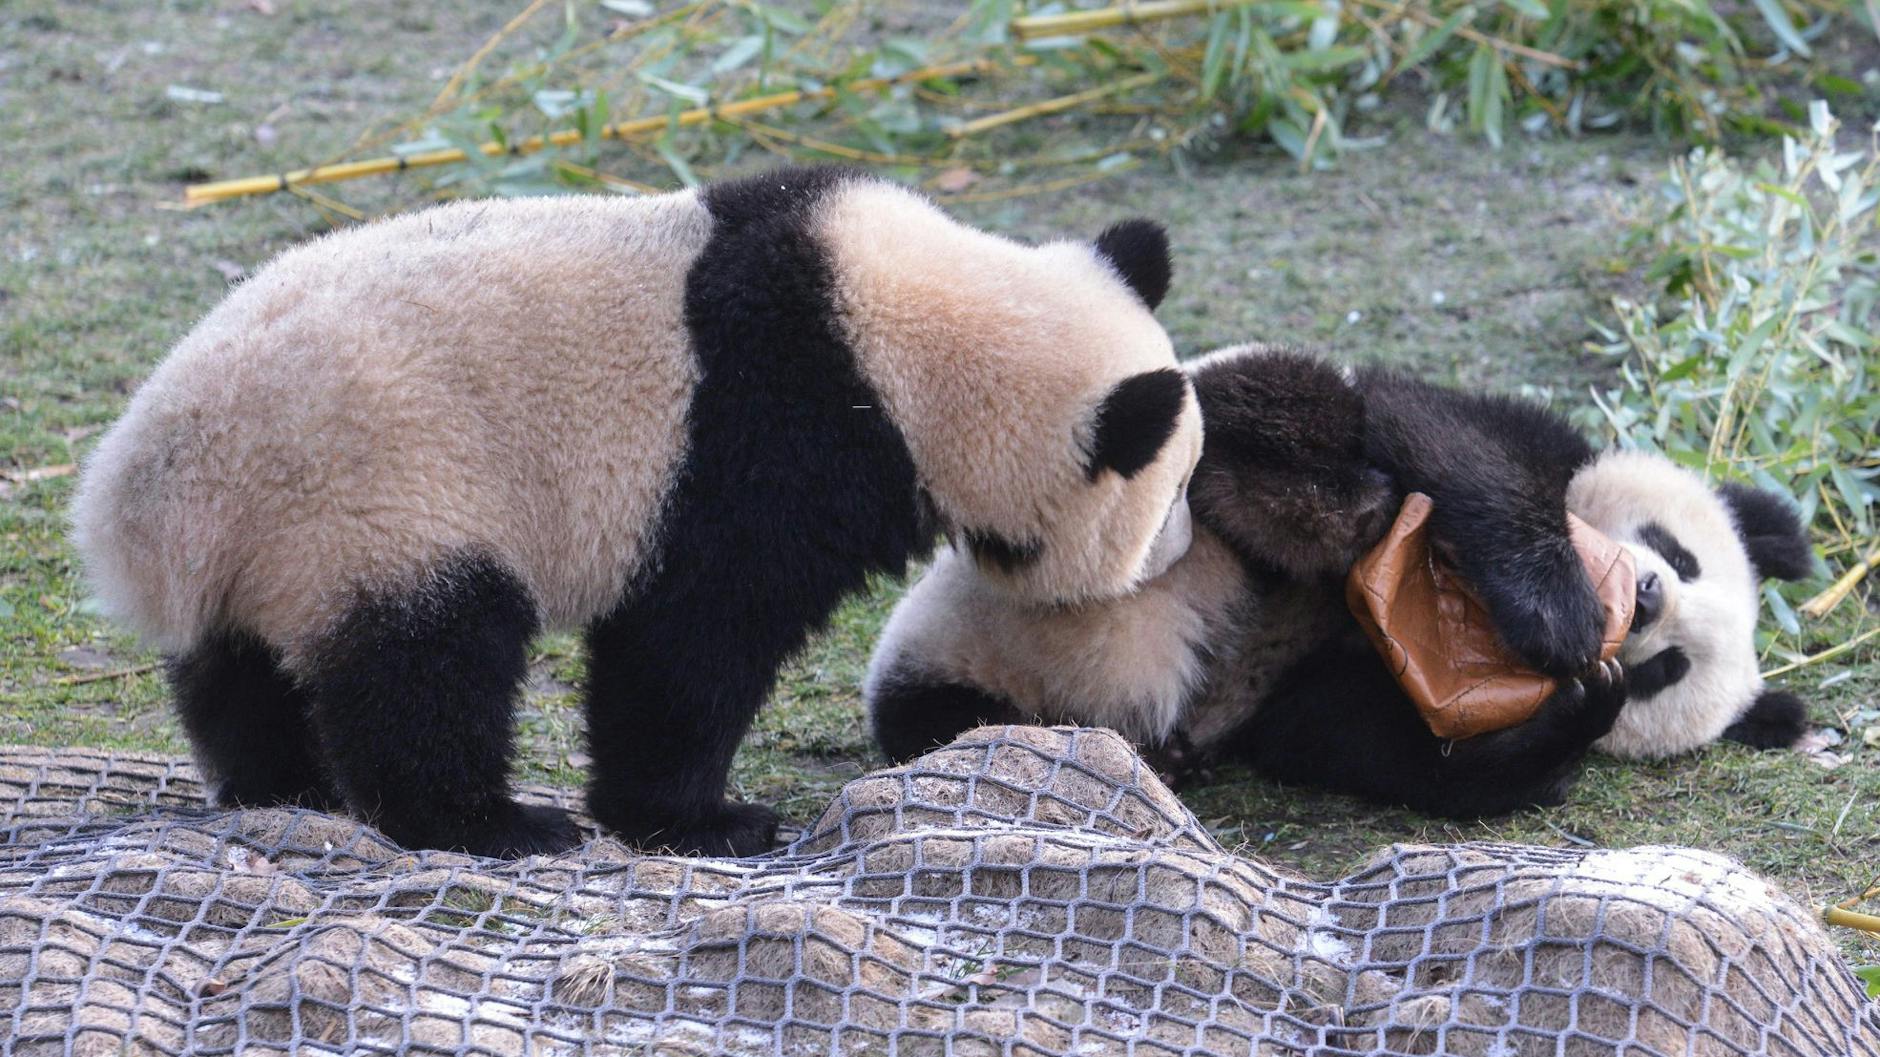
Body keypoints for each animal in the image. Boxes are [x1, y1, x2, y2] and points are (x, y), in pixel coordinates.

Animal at [71, 166, 1204, 858]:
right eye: (1168, 501)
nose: (1176, 557)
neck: (907, 338)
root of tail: (142, 495)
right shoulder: (762, 437)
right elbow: (690, 641)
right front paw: (703, 819)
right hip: (374, 492)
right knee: (425, 660)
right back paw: (488, 821)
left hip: (270, 541)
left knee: (240, 666)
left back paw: (282, 785)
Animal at [866, 345, 1816, 818]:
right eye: (1679, 552)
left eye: (1669, 670)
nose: (1647, 596)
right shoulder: (1526, 439)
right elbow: (1450, 440)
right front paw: (1563, 617)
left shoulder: (1320, 695)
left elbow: (1367, 748)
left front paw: (1584, 706)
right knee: (1292, 416)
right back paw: (1342, 509)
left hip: (983, 687)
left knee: (957, 723)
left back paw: (1163, 753)